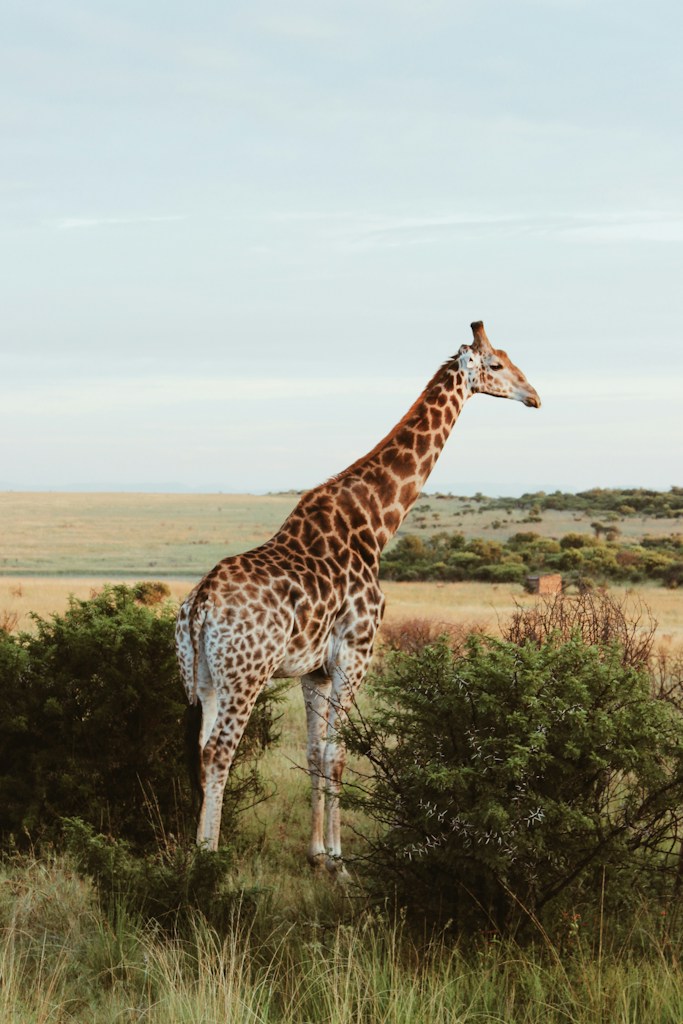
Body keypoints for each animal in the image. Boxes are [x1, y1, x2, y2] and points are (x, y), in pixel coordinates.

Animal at [175, 320, 541, 874]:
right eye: (496, 364)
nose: (534, 396)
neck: (377, 522)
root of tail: (202, 605)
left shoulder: (314, 670)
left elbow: (313, 754)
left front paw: (314, 852)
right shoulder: (356, 653)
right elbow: (339, 753)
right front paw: (339, 861)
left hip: (202, 678)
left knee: (200, 748)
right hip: (247, 674)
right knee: (220, 752)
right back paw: (207, 861)